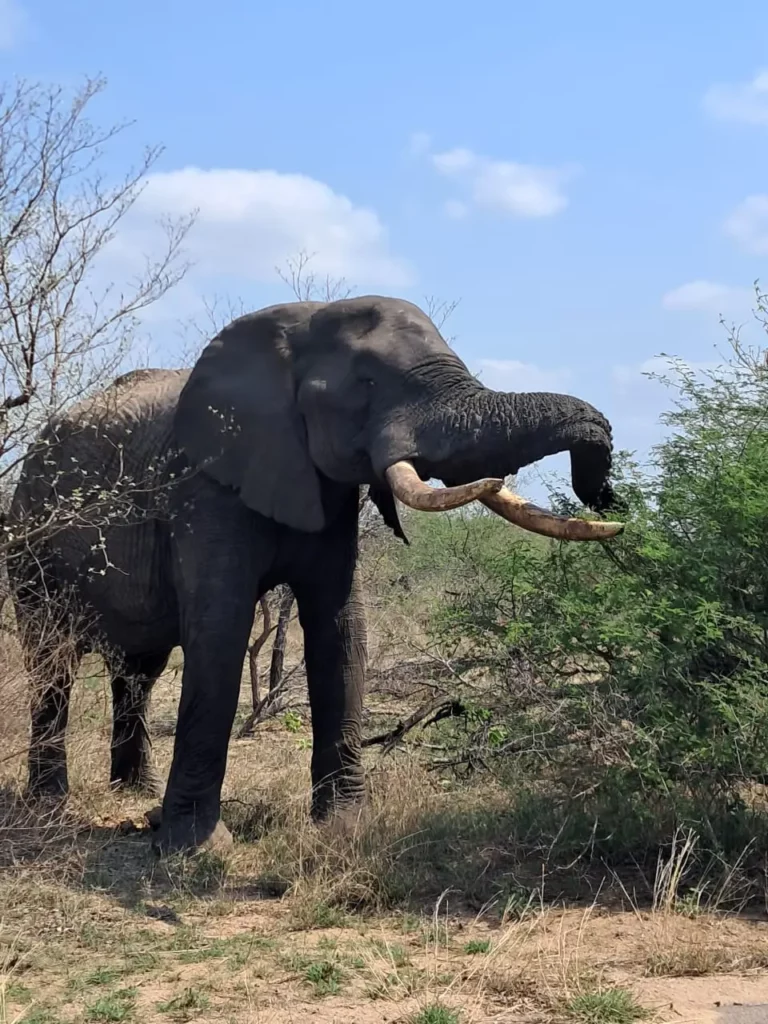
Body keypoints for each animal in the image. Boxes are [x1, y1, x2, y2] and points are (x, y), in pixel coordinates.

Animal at [6, 295, 623, 854]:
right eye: (368, 383)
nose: (601, 495)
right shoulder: (203, 486)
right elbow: (220, 630)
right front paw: (195, 851)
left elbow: (340, 629)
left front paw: (345, 831)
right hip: (29, 543)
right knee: (52, 662)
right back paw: (51, 806)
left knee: (139, 669)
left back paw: (136, 796)